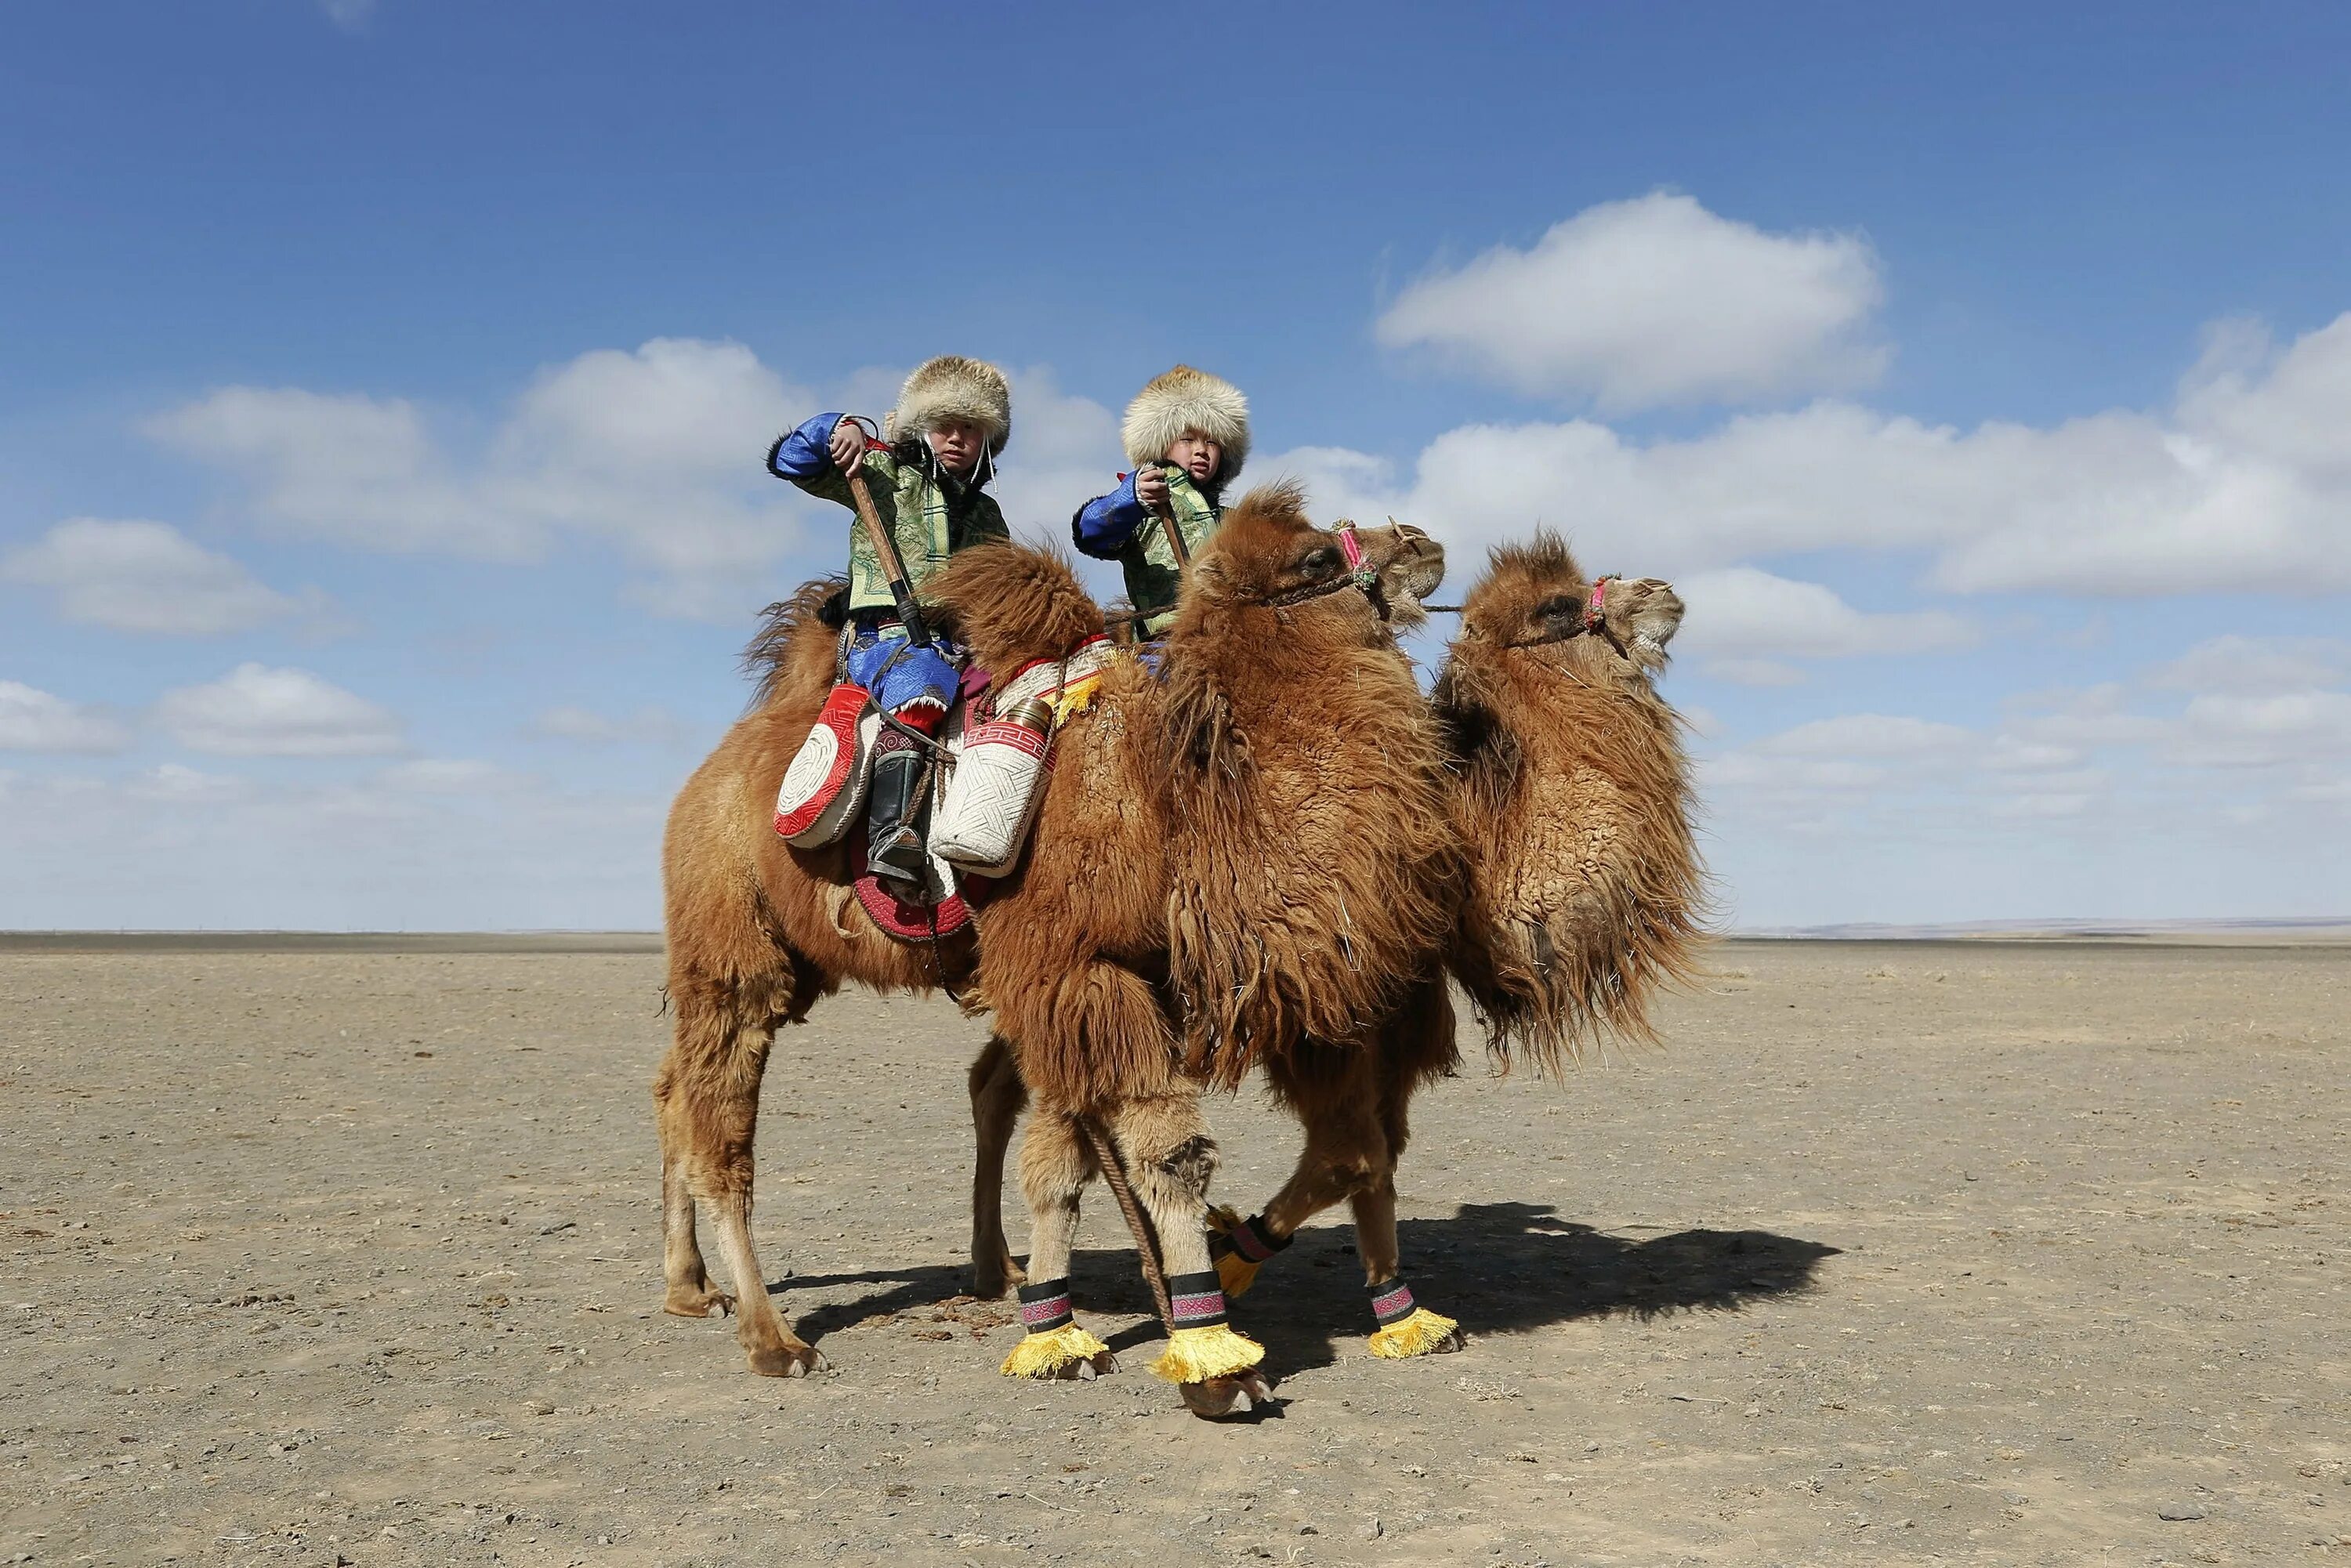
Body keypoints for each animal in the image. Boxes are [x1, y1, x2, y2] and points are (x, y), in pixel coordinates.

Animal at [959, 484, 1467, 1420]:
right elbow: (1164, 1155)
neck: (1180, 814)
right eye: (1316, 558)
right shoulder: (1083, 972)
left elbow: (1066, 1161)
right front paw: (1211, 1355)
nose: (1420, 540)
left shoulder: (1111, 988)